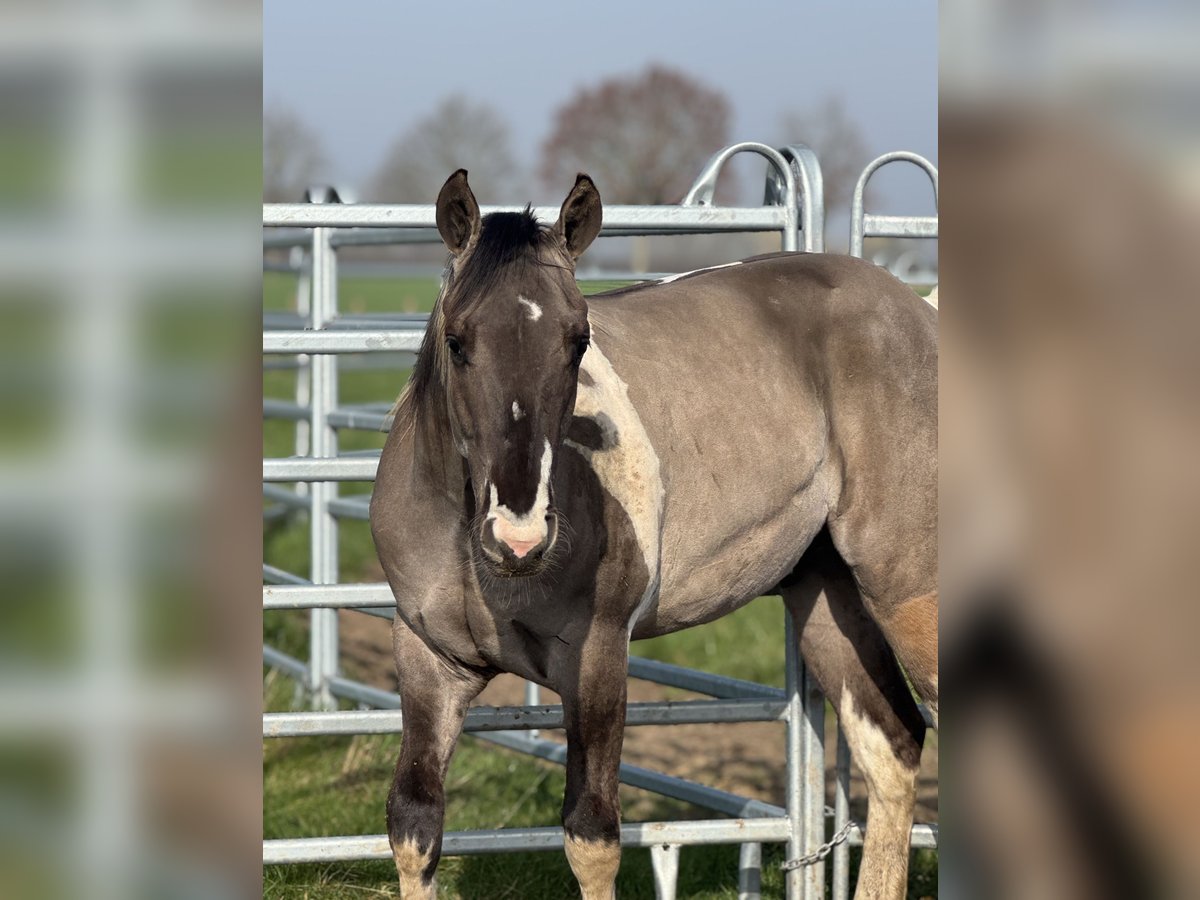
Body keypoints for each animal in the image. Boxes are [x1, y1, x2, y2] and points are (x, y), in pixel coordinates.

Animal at [369, 169, 938, 899]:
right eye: (458, 340)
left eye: (577, 341)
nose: (519, 535)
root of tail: (919, 312)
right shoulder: (428, 661)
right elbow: (415, 823)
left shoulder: (597, 657)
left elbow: (591, 836)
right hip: (826, 599)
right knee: (892, 745)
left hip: (911, 596)